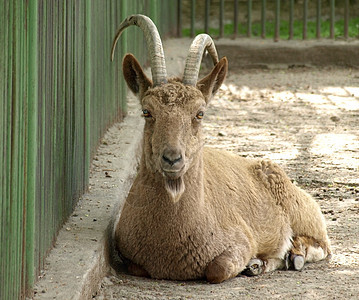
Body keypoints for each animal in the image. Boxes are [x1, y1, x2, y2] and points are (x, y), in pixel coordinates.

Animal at [112, 14, 332, 284]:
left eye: (200, 113)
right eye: (146, 111)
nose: (172, 159)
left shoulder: (240, 241)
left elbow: (217, 269)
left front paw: (253, 261)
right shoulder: (130, 255)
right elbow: (137, 267)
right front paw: (254, 264)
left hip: (302, 212)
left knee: (321, 245)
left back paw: (293, 255)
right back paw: (260, 264)